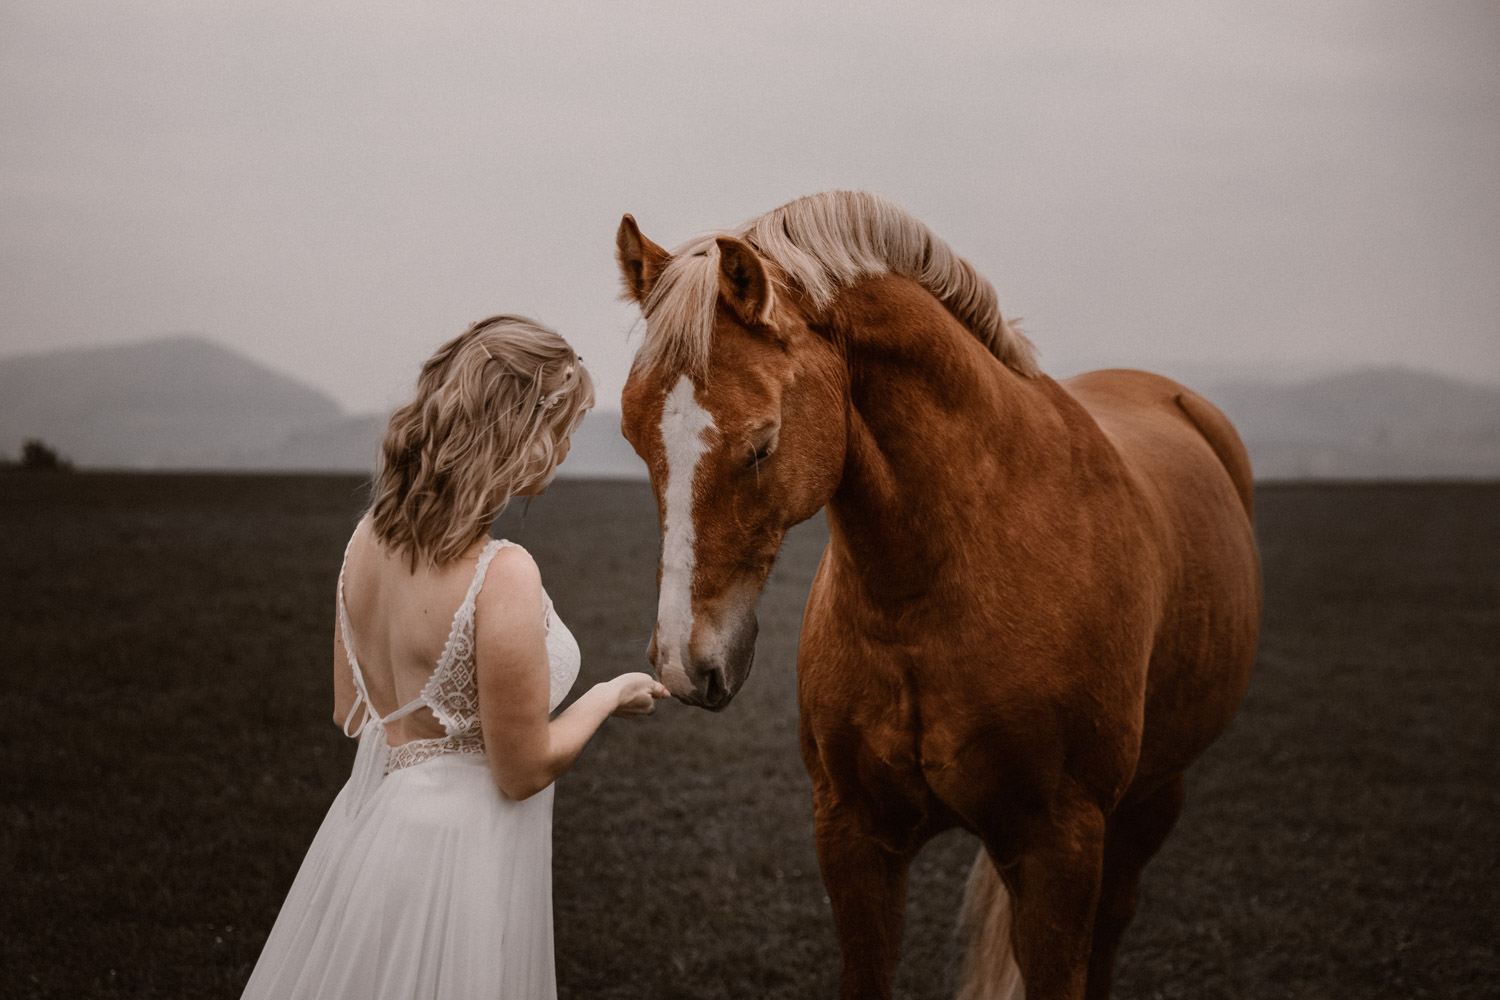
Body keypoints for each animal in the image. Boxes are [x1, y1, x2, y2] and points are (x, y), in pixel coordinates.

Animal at [615, 191, 1260, 995]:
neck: (930, 597)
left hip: (1153, 798)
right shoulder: (853, 835)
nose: (683, 661)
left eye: (762, 444)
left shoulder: (1060, 846)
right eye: (634, 437)